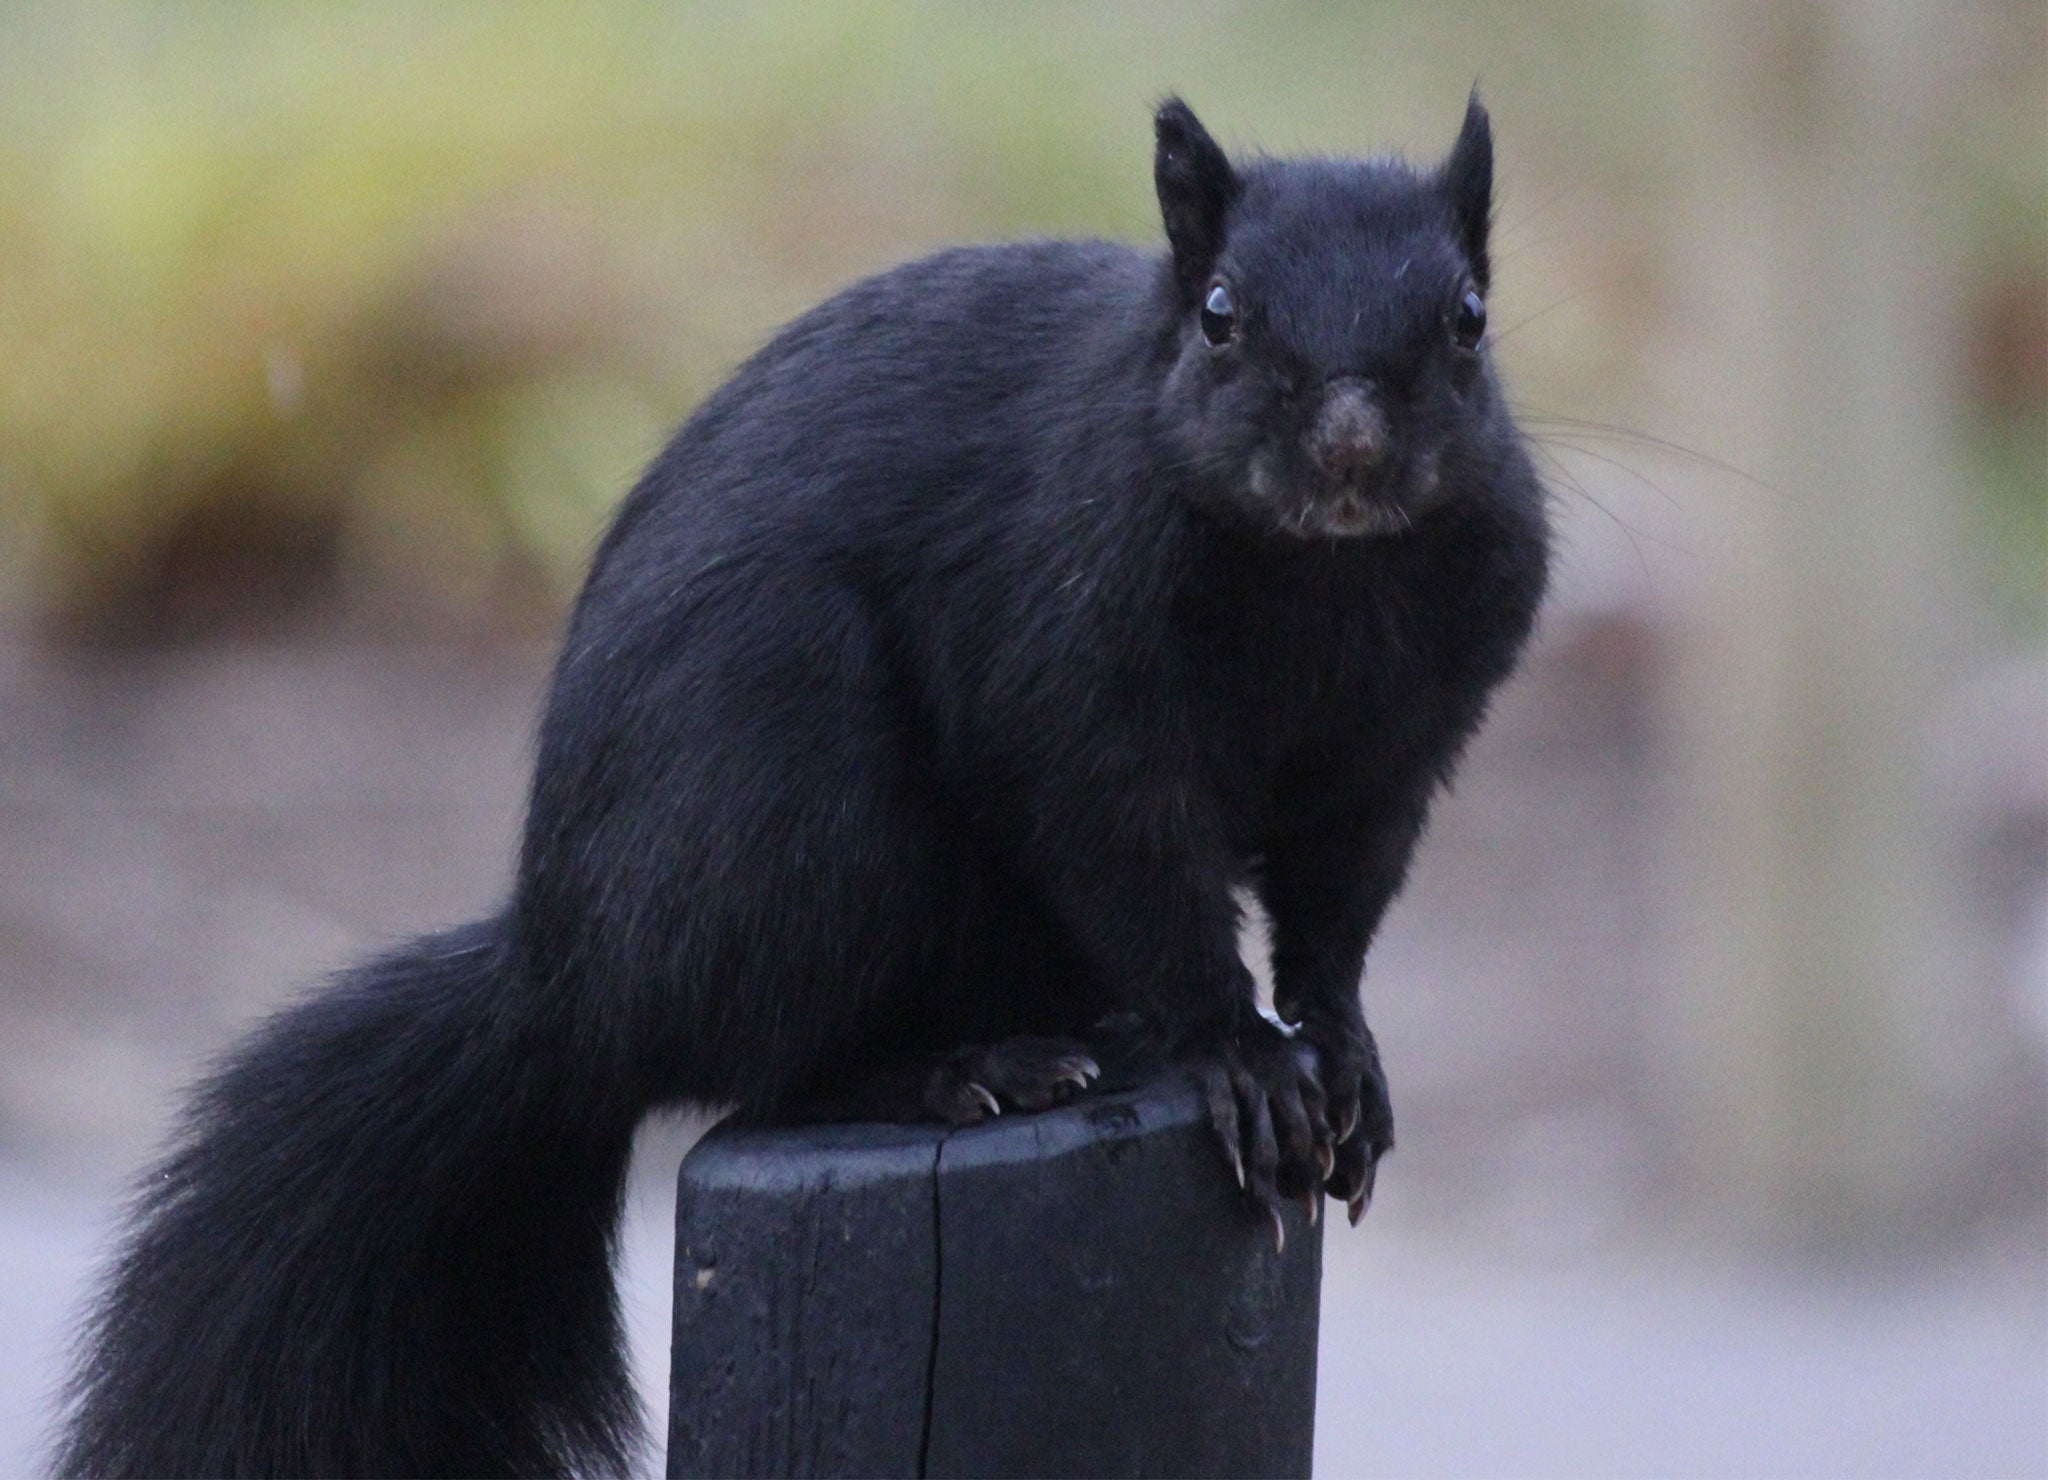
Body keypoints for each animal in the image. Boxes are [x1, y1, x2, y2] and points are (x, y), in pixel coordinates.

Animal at [56, 98, 1540, 1473]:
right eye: (1221, 314)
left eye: (1469, 318)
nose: (1349, 448)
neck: (1320, 576)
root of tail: (562, 981)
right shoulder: (1070, 680)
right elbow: (1139, 867)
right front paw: (1241, 1055)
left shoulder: (1397, 750)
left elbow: (1335, 913)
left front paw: (1340, 1050)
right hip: (790, 804)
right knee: (759, 1068)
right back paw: (958, 1072)